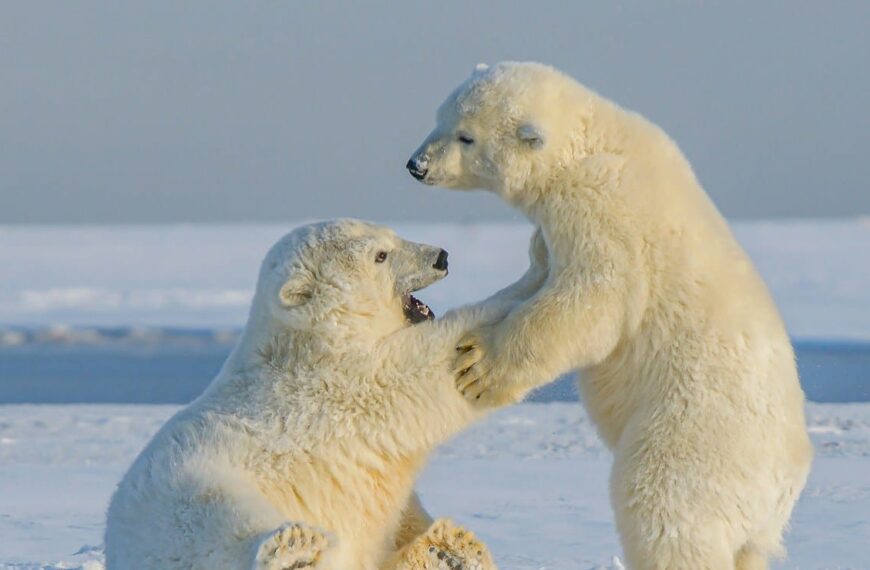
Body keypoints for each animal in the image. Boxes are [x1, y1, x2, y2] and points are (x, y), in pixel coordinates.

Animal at [104, 219, 526, 570]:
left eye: (392, 234)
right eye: (381, 254)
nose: (441, 256)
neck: (307, 341)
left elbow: (398, 515)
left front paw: (451, 548)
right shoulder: (339, 384)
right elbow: (421, 370)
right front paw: (529, 286)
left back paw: (450, 548)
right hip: (191, 491)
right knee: (221, 522)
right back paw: (294, 551)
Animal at [406, 62, 813, 569]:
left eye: (466, 137)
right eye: (439, 118)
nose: (417, 165)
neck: (589, 143)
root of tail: (782, 487)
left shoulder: (603, 216)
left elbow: (589, 301)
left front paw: (478, 366)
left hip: (695, 434)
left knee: (663, 506)